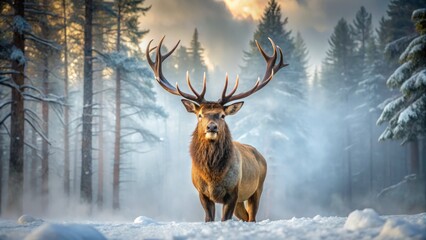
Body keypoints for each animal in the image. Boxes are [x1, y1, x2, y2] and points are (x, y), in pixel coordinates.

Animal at [146, 36, 290, 222]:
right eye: (200, 115)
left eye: (222, 115)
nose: (211, 126)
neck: (213, 177)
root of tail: (260, 154)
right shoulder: (202, 193)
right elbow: (209, 219)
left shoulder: (233, 192)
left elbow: (225, 219)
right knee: (245, 217)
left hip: (257, 188)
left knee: (252, 217)